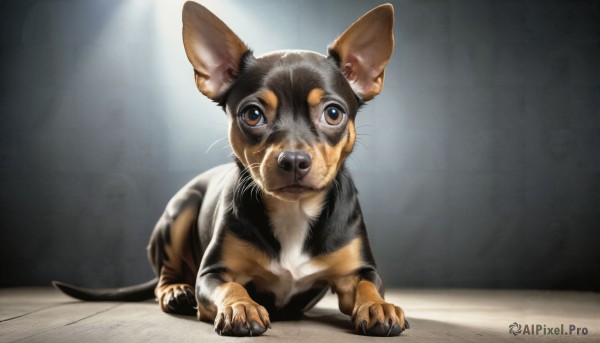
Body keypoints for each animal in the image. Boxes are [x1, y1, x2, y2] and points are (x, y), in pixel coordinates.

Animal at [52, 0, 408, 338]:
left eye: (333, 114)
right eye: (252, 115)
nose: (293, 160)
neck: (294, 211)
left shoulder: (357, 272)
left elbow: (368, 286)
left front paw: (379, 306)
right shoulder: (212, 273)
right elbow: (231, 285)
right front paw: (242, 307)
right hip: (181, 210)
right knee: (163, 277)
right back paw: (176, 291)